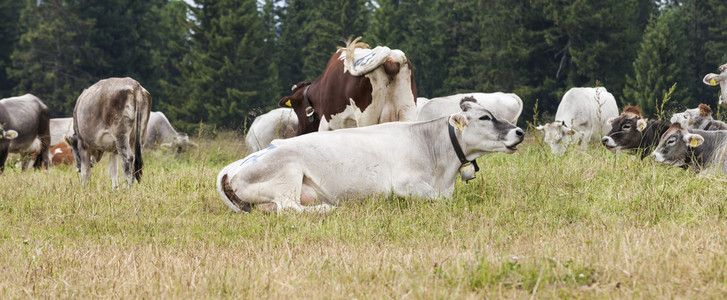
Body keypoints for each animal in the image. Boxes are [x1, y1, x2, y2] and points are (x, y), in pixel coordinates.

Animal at [216, 98, 524, 213]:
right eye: (485, 117)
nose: (519, 131)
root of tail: (233, 167)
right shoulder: (406, 184)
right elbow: (437, 200)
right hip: (287, 170)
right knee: (289, 208)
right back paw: (327, 209)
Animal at [278, 36, 416, 135]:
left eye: (296, 109)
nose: (299, 132)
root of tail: (389, 59)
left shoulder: (326, 126)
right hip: (407, 111)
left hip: (366, 119)